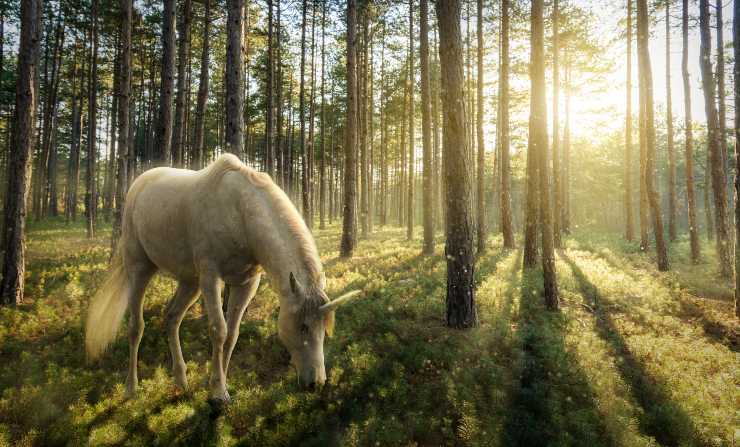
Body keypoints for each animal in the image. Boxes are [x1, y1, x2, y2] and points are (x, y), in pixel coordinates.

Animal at [85, 154, 360, 402]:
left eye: (324, 328)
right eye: (303, 326)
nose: (316, 383)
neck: (241, 213)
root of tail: (138, 185)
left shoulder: (245, 283)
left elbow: (232, 334)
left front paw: (219, 383)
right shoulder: (211, 276)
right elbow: (218, 329)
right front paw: (218, 392)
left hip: (189, 281)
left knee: (171, 317)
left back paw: (181, 381)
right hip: (140, 268)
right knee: (136, 326)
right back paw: (131, 388)